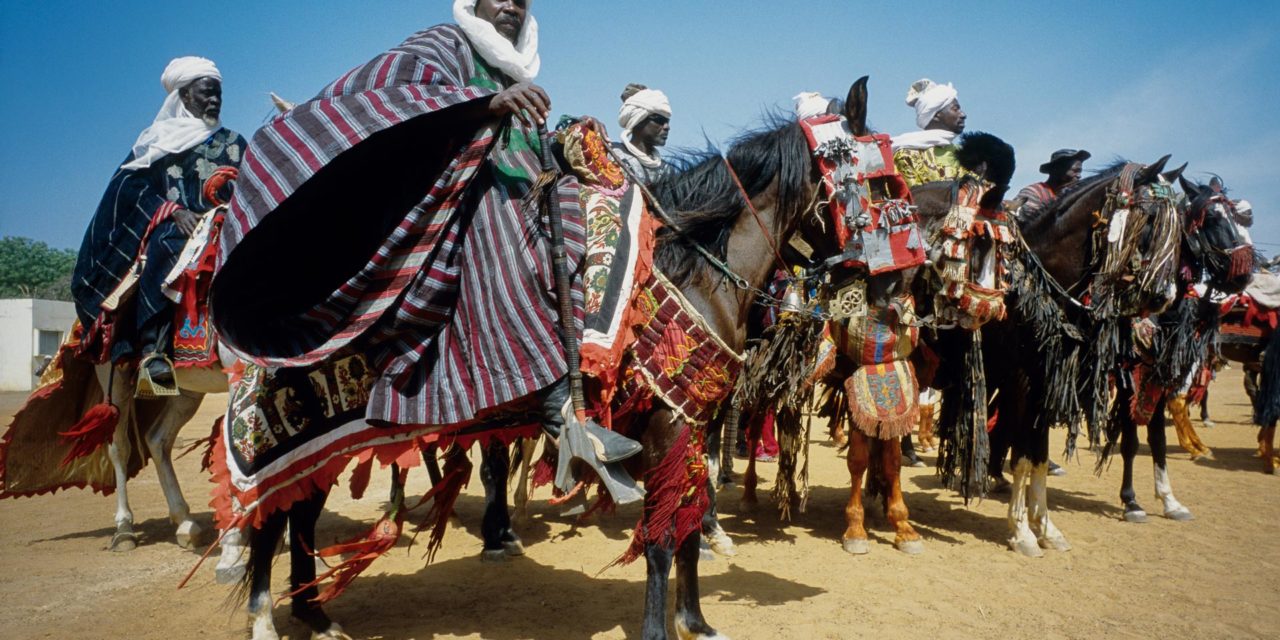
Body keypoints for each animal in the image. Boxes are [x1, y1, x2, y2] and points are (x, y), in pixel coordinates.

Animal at [239, 82, 860, 637]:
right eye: (866, 175)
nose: (866, 278)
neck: (695, 273)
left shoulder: (694, 421)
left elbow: (685, 526)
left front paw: (697, 622)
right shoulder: (668, 423)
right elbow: (661, 540)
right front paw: (662, 627)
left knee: (299, 516)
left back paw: (315, 615)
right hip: (290, 431)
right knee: (274, 519)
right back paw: (267, 617)